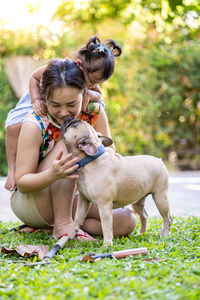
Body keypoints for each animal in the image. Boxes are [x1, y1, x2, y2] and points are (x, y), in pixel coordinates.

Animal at [61, 116, 172, 245]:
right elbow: (77, 219)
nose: (70, 117)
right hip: (138, 201)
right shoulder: (83, 201)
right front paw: (70, 236)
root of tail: (159, 160)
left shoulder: (104, 206)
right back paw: (141, 233)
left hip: (160, 197)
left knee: (167, 218)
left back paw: (163, 235)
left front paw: (107, 244)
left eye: (74, 124)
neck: (89, 161)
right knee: (144, 215)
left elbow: (106, 226)